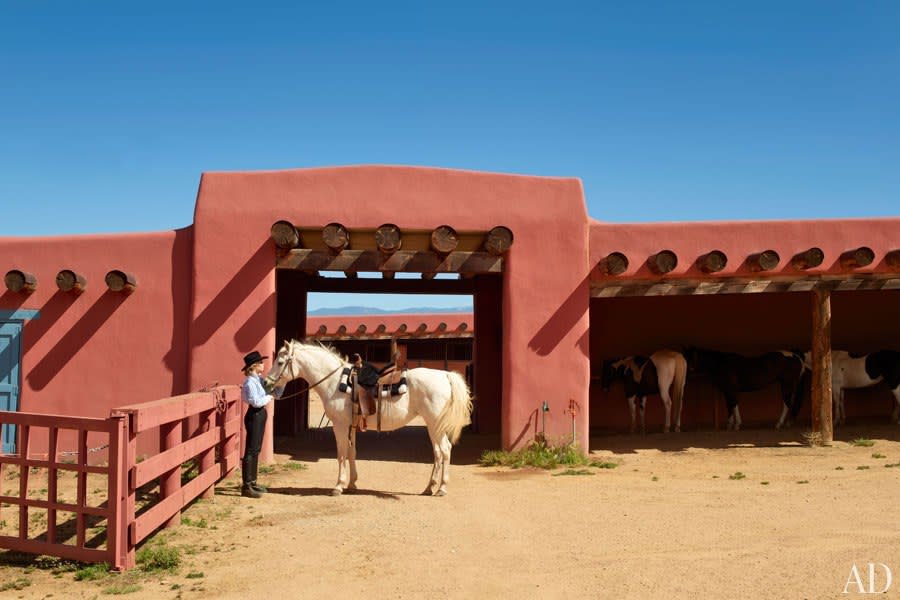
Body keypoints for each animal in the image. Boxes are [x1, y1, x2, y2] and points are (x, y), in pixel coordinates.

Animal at [262, 340, 474, 500]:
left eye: (280, 362)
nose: (266, 383)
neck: (334, 382)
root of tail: (445, 375)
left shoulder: (340, 426)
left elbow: (341, 454)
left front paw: (338, 486)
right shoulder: (351, 425)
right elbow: (351, 452)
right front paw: (352, 484)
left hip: (435, 425)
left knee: (444, 451)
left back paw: (441, 488)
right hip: (434, 426)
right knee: (438, 453)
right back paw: (429, 487)